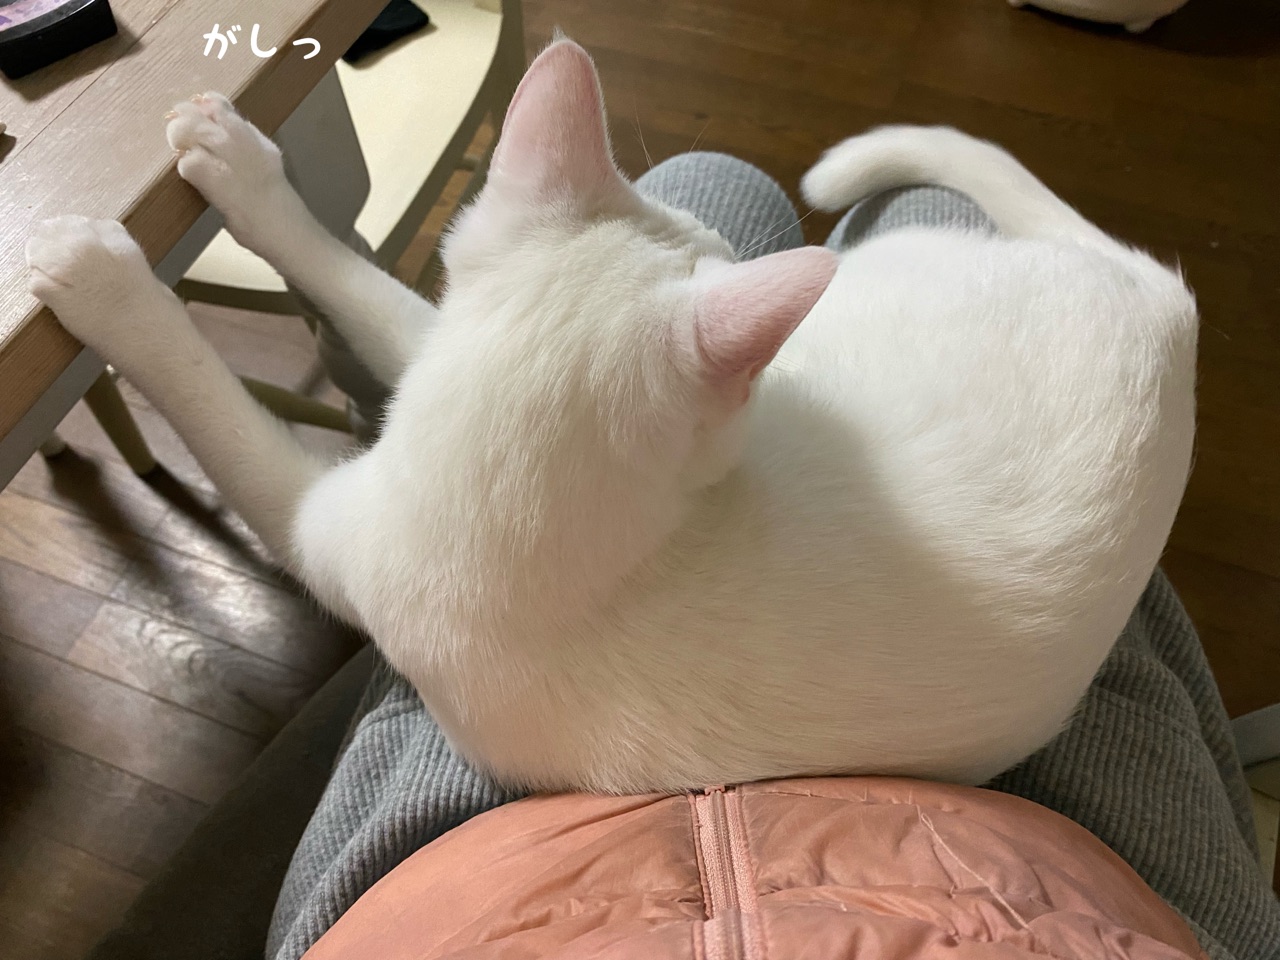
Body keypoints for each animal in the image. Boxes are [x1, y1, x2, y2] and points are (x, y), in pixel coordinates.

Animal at [26, 39, 1196, 795]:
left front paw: (109, 286)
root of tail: (1170, 313)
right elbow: (355, 281)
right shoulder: (429, 352)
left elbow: (217, 401)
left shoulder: (326, 527)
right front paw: (244, 174)